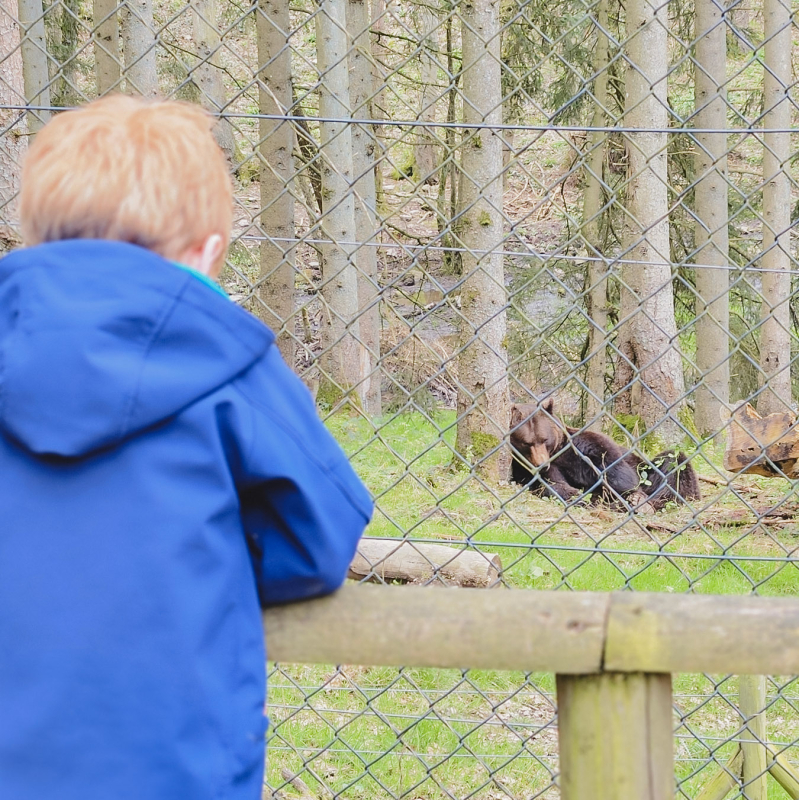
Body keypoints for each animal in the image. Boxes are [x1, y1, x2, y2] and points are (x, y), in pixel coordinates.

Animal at [512, 400, 700, 512]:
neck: (558, 453)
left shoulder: (587, 446)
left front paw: (629, 496)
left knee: (673, 463)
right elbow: (551, 485)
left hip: (652, 469)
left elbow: (620, 474)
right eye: (527, 443)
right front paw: (578, 495)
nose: (542, 464)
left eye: (545, 439)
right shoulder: (526, 470)